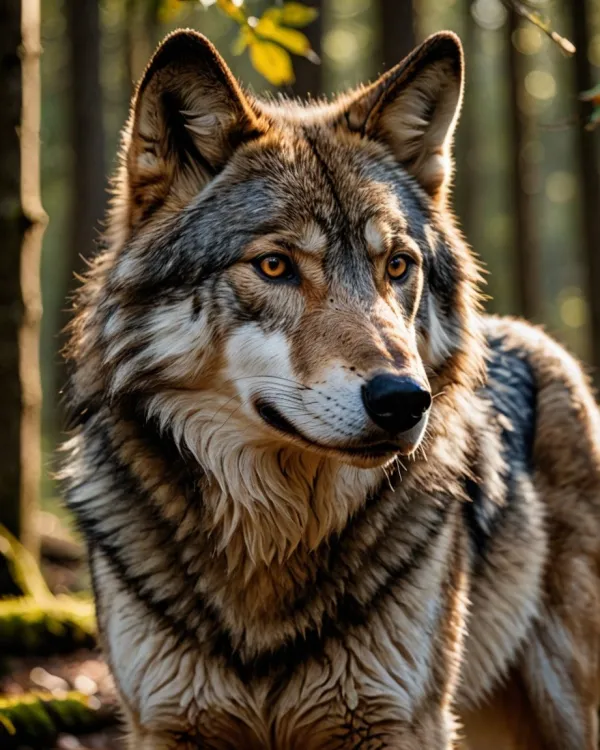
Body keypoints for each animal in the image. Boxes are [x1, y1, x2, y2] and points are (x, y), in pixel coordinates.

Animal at [62, 28, 600, 750]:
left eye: (397, 266)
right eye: (274, 266)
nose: (405, 399)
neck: (269, 548)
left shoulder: (402, 721)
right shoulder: (167, 723)